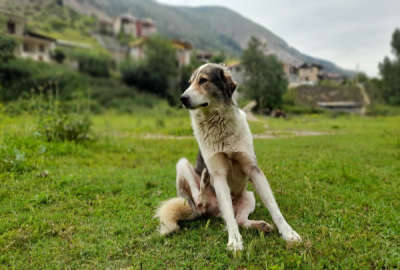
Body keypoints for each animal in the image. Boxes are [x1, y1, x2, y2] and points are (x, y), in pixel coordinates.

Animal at [155, 62, 300, 251]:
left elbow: (274, 207)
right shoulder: (219, 175)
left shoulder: (254, 170)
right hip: (183, 166)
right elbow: (229, 216)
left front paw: (289, 234)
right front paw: (234, 242)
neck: (218, 122)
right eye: (190, 82)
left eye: (203, 80)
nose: (182, 98)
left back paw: (260, 225)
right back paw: (203, 185)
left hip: (249, 196)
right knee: (201, 201)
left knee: (240, 219)